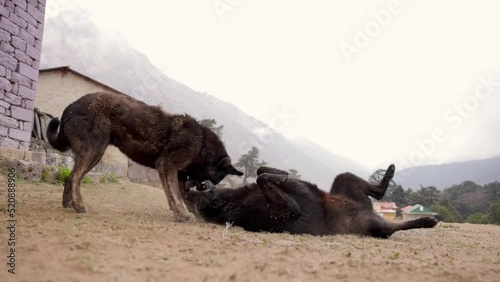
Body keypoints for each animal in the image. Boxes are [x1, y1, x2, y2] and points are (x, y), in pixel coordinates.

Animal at [47, 91, 242, 221]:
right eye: (215, 178)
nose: (202, 186)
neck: (202, 143)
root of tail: (71, 106)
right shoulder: (167, 166)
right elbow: (176, 195)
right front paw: (182, 214)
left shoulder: (176, 173)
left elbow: (180, 196)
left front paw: (188, 212)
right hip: (95, 151)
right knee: (74, 177)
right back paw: (78, 205)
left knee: (70, 177)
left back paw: (68, 203)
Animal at [187, 165, 438, 238]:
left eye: (201, 187)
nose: (196, 184)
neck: (231, 201)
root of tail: (369, 211)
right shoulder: (290, 209)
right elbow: (261, 177)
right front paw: (279, 177)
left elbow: (260, 171)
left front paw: (281, 173)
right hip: (371, 224)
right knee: (393, 228)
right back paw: (427, 221)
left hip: (345, 181)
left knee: (377, 191)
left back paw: (387, 175)